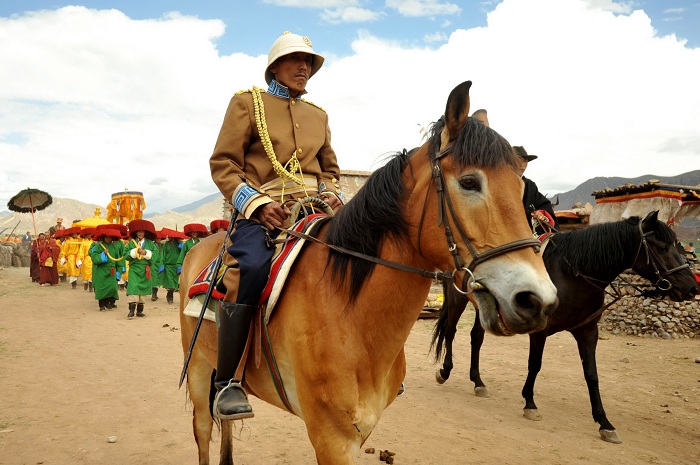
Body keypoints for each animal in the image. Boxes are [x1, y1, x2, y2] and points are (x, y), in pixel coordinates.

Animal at [179, 80, 556, 464]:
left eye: (523, 190)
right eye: (469, 182)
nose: (536, 299)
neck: (349, 310)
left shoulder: (361, 431)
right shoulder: (330, 437)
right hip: (197, 368)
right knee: (203, 429)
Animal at [430, 210, 696, 442]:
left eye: (677, 245)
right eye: (662, 247)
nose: (692, 288)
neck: (574, 274)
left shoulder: (587, 331)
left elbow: (592, 374)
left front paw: (604, 423)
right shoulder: (540, 331)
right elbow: (535, 365)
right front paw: (530, 403)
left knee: (476, 337)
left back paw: (478, 382)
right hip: (458, 299)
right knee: (451, 331)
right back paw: (445, 371)